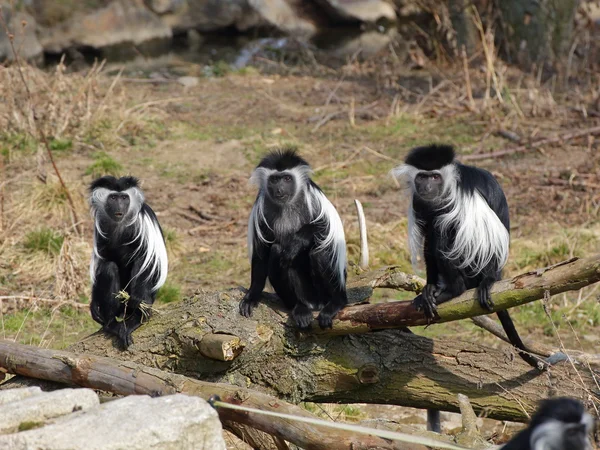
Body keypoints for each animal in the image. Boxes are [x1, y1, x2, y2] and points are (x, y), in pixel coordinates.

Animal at [88, 176, 166, 348]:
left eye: (124, 198)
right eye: (113, 198)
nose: (119, 206)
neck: (120, 222)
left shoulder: (143, 221)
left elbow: (147, 259)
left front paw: (137, 300)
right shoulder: (101, 225)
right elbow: (103, 260)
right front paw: (93, 305)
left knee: (141, 263)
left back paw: (135, 319)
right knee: (108, 268)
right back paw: (111, 324)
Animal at [239, 149, 346, 328]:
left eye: (287, 179)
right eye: (274, 180)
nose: (279, 189)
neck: (287, 205)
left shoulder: (313, 197)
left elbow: (324, 228)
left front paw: (296, 242)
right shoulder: (261, 211)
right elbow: (261, 254)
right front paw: (251, 297)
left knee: (320, 251)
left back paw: (335, 303)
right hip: (304, 294)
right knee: (277, 252)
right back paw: (300, 308)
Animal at [396, 145, 540, 370]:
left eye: (435, 177)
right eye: (422, 177)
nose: (427, 186)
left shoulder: (462, 193)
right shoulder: (419, 201)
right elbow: (428, 239)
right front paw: (428, 289)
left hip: (472, 267)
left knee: (445, 227)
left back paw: (457, 289)